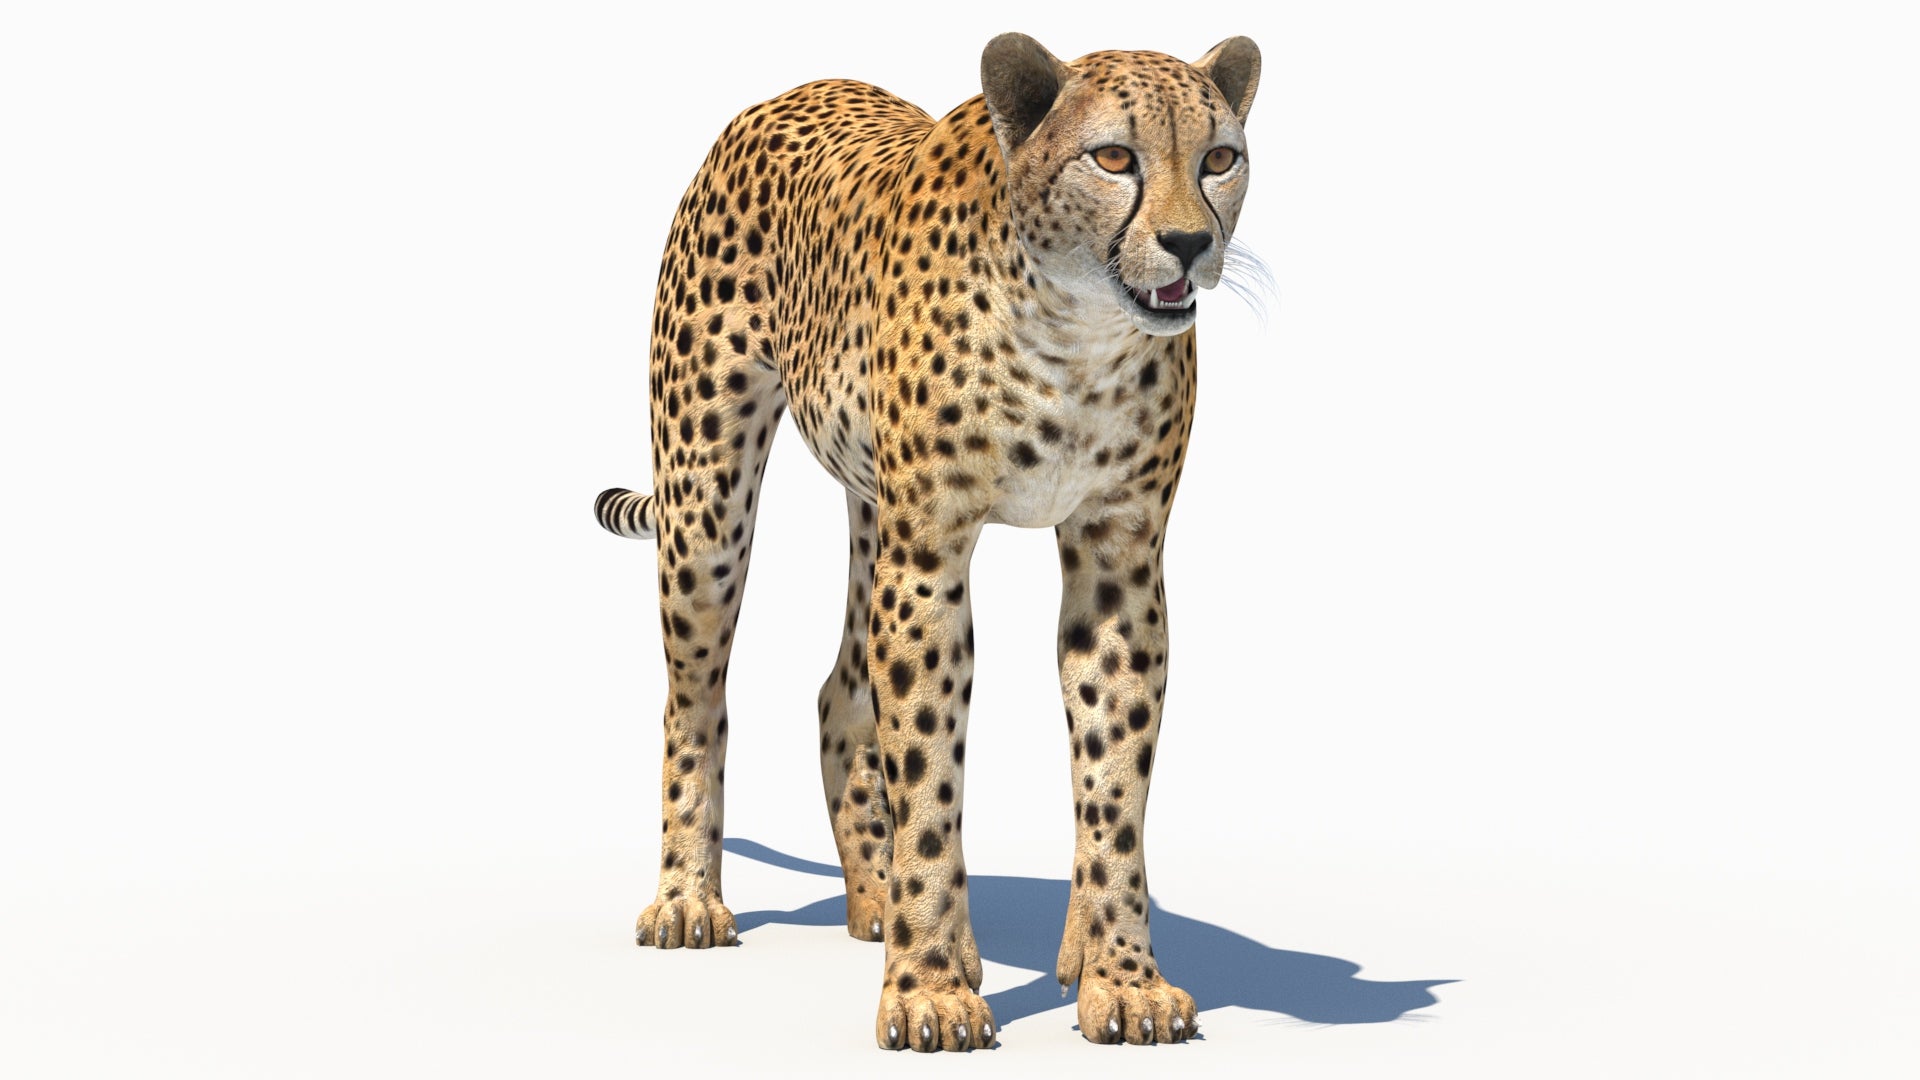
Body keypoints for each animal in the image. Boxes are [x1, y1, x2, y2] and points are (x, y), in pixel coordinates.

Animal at [593, 32, 1260, 1052]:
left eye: (1219, 158)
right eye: (1114, 158)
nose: (1192, 243)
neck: (1074, 334)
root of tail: (793, 91)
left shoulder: (1120, 559)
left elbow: (1113, 782)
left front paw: (1120, 978)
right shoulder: (931, 557)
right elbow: (932, 777)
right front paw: (931, 990)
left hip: (873, 515)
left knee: (838, 693)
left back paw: (877, 899)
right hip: (707, 501)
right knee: (695, 697)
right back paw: (688, 900)